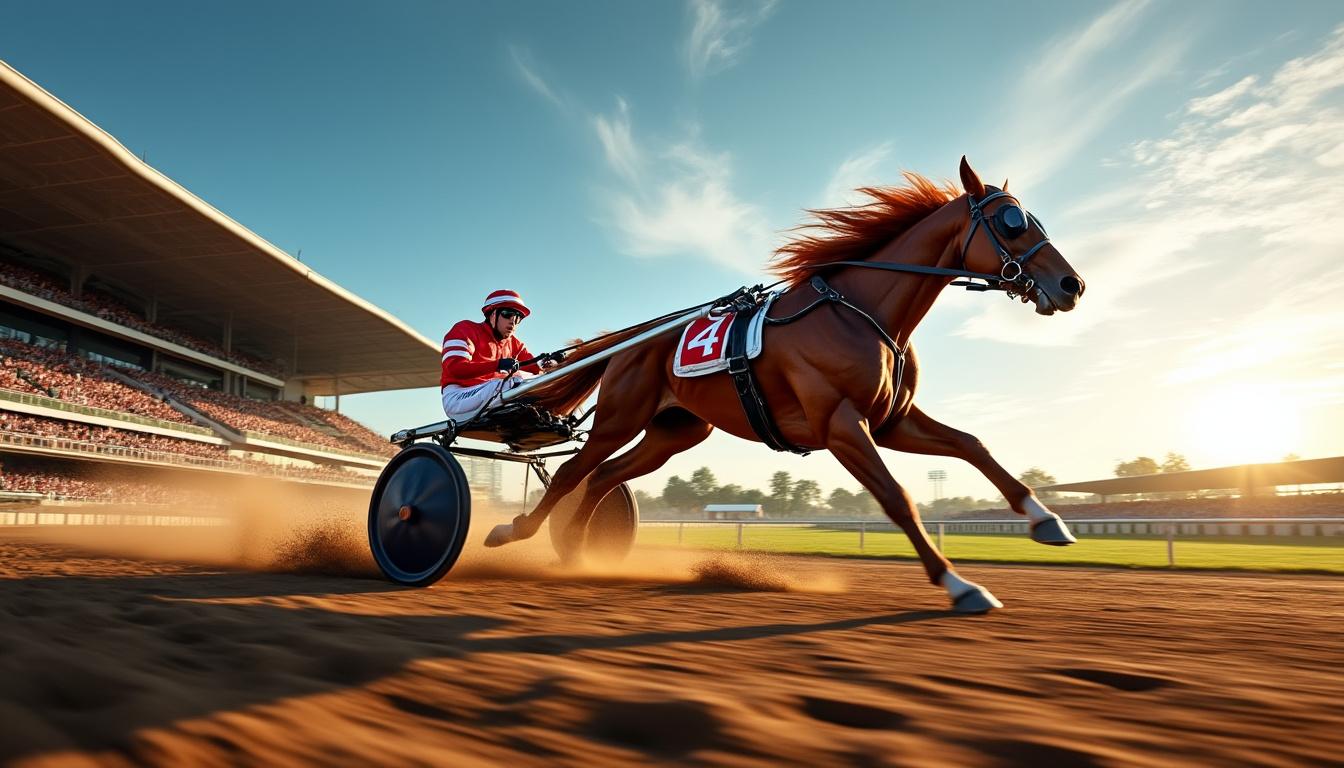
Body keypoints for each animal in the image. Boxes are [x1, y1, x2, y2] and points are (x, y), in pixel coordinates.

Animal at [486, 157, 1086, 613]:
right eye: (1012, 221)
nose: (1072, 284)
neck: (860, 311)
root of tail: (630, 340)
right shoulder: (841, 423)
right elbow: (898, 497)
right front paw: (960, 584)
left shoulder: (891, 421)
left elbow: (972, 444)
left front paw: (1047, 519)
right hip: (620, 416)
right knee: (572, 472)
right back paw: (512, 532)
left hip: (674, 432)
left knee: (605, 476)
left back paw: (580, 551)